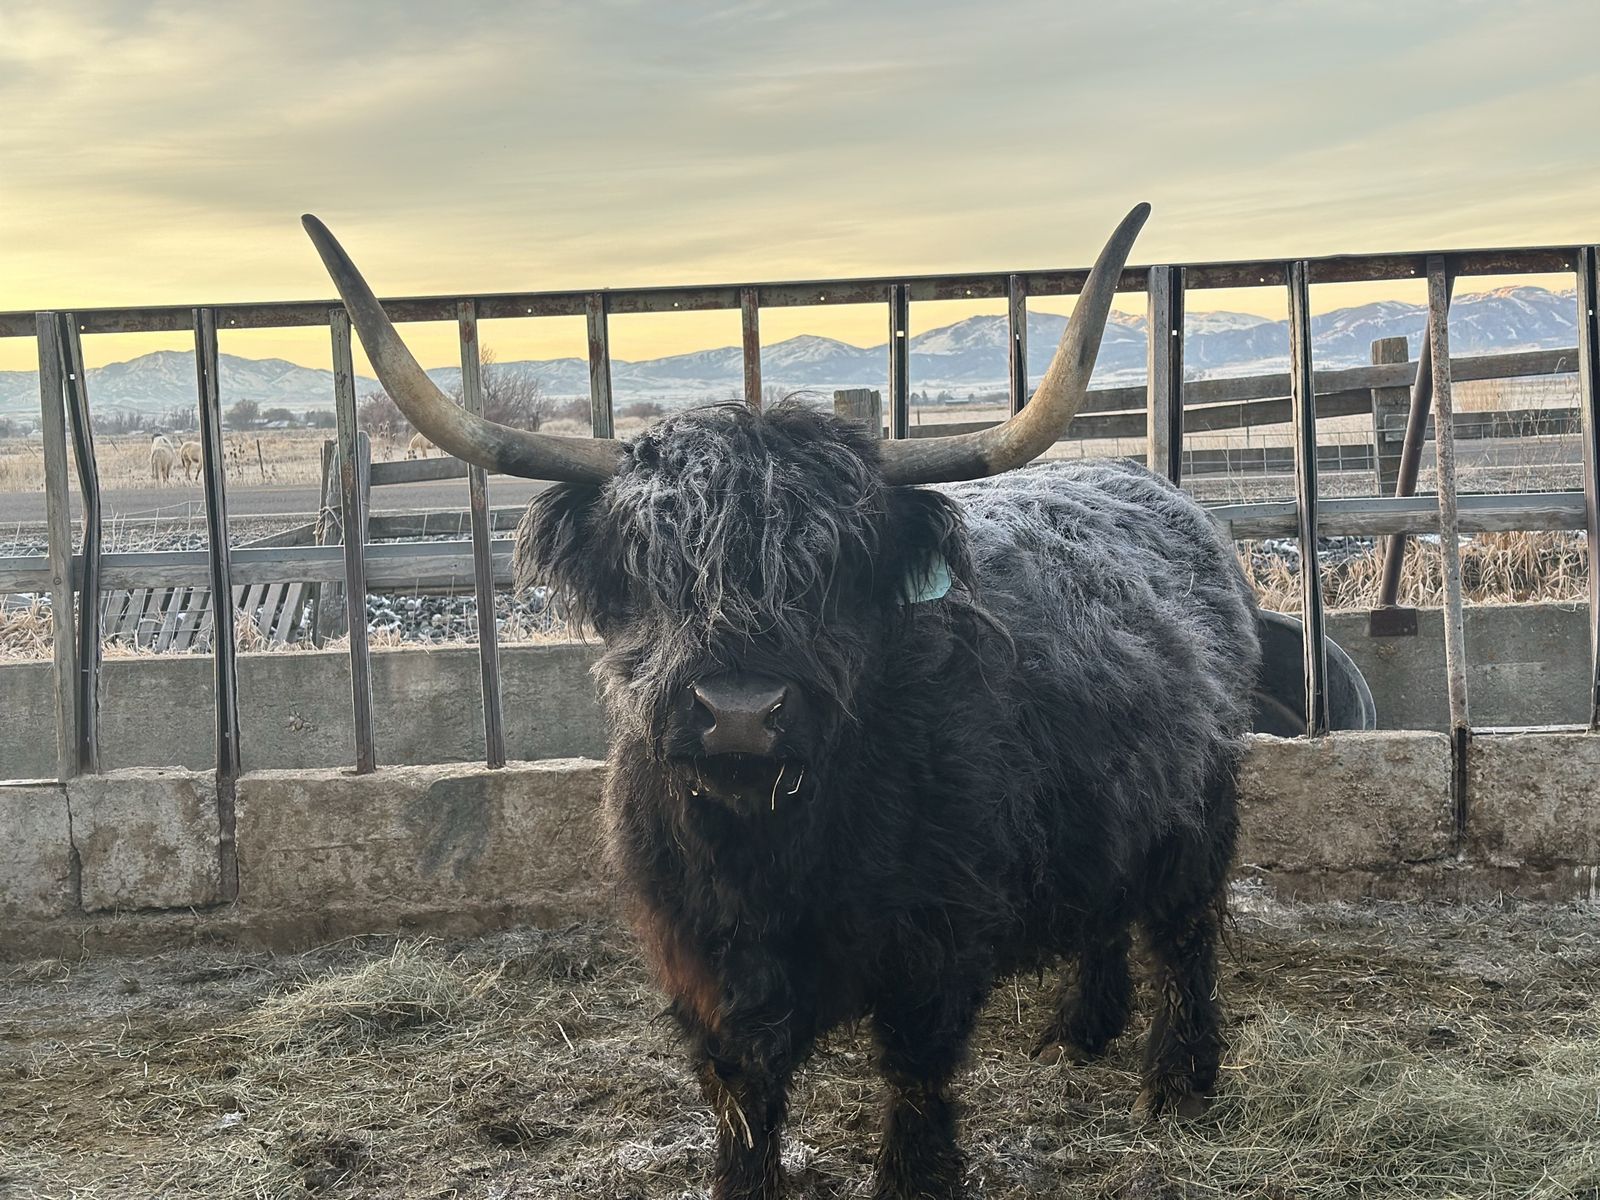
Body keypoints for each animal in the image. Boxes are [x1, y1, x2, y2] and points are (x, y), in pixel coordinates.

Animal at [304, 206, 1262, 1200]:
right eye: (649, 566)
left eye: (833, 571)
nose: (738, 711)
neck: (767, 852)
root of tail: (1163, 494)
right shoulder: (702, 957)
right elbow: (742, 1092)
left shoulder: (936, 938)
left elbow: (916, 1071)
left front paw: (915, 1180)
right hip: (1110, 805)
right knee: (1107, 912)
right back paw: (1079, 1033)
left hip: (1201, 807)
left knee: (1184, 932)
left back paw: (1178, 1084)